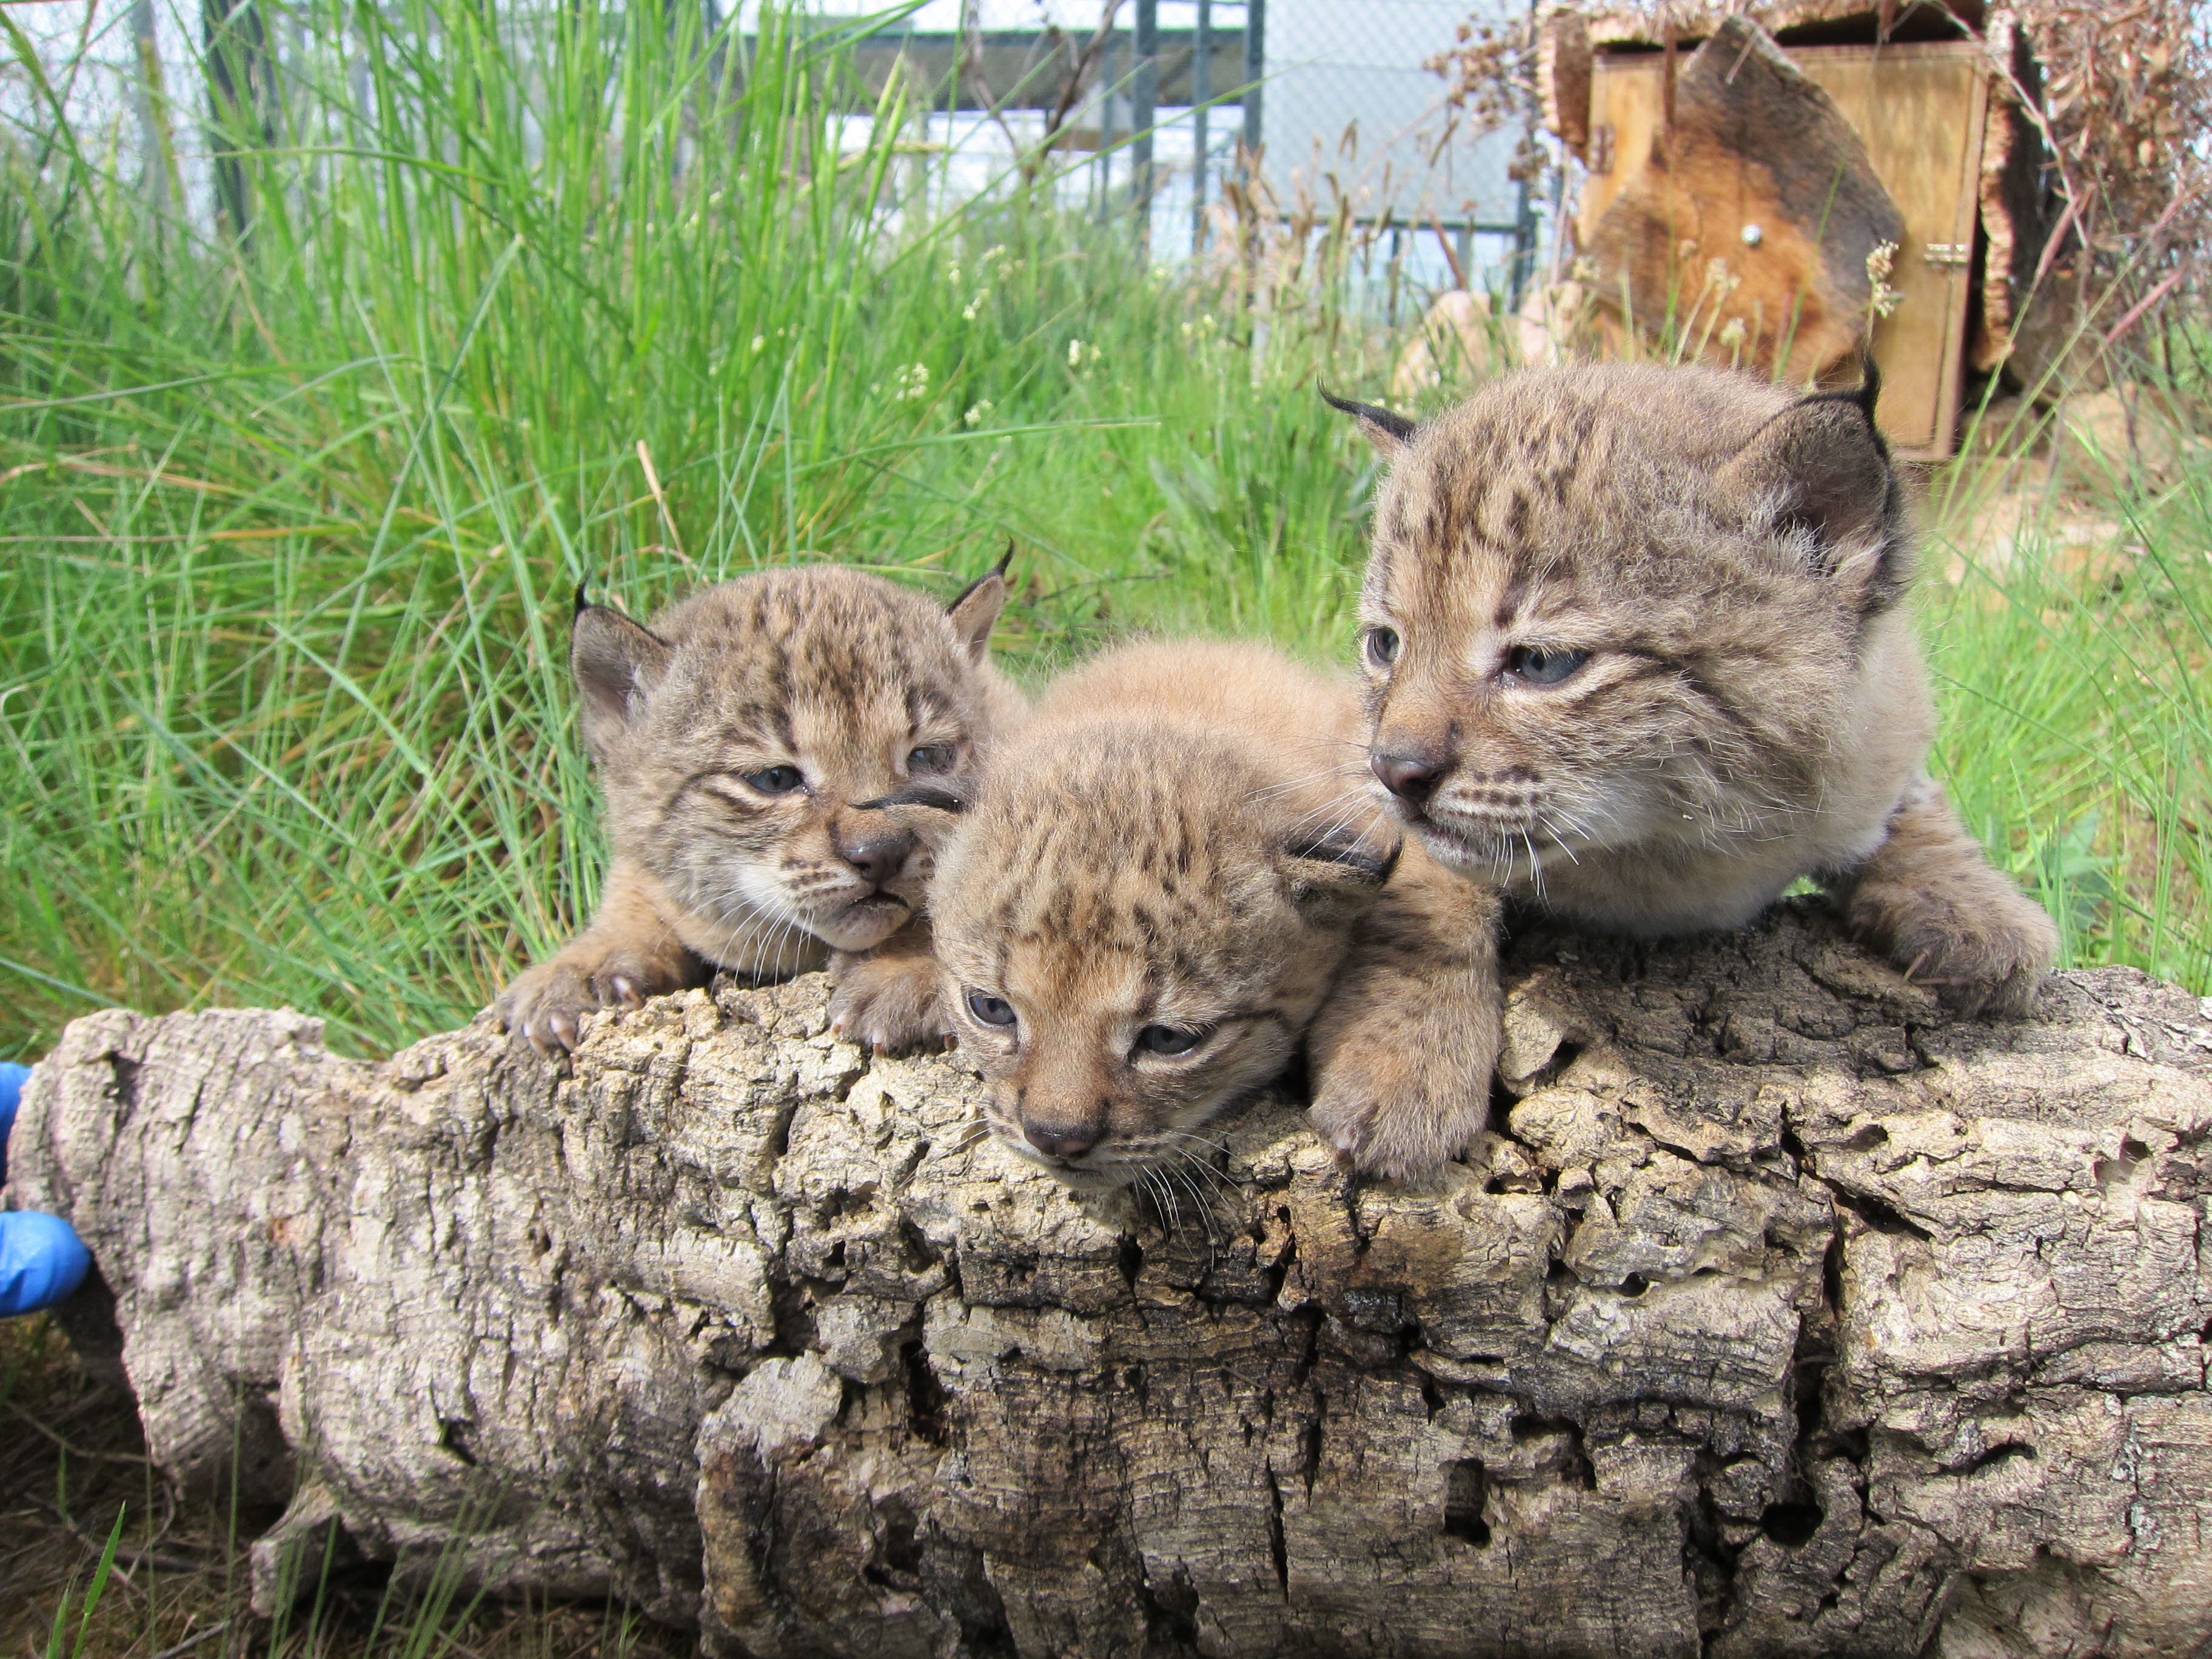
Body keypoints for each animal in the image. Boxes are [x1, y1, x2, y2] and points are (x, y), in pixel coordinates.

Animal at [497, 559, 1022, 1053]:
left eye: (927, 758)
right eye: (775, 780)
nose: (882, 854)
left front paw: (906, 970)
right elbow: (638, 885)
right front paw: (580, 967)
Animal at [1318, 364, 2061, 1022]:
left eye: (1542, 663)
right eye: (1386, 646)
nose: (1395, 770)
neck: (1683, 845)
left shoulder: (1879, 732)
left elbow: (1914, 807)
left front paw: (1979, 912)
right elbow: (1429, 889)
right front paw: (1405, 1060)